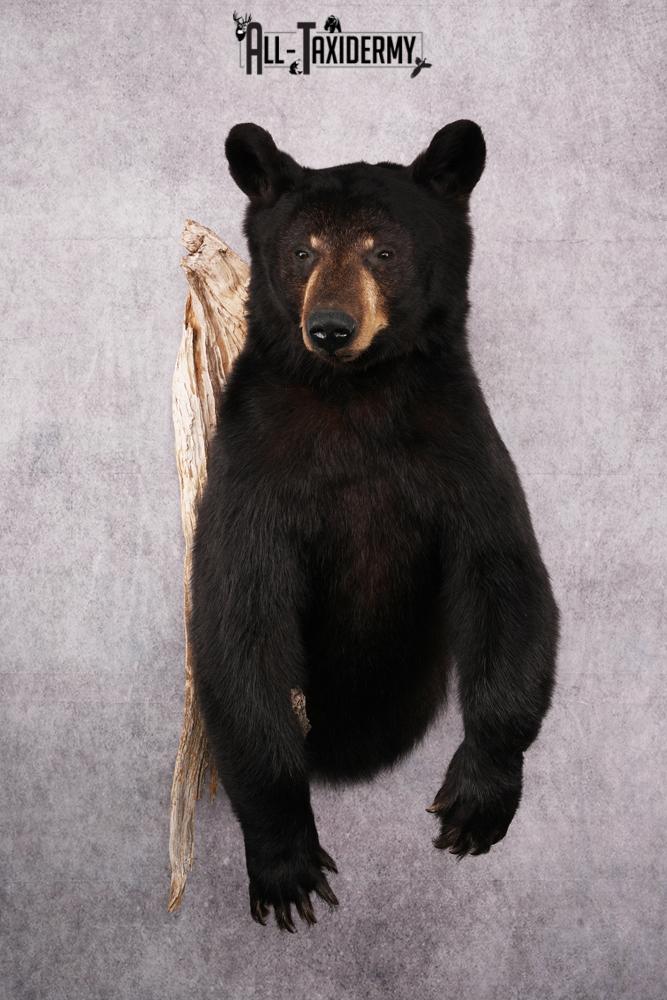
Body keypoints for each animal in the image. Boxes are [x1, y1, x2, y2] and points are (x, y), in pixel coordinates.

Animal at [189, 120, 560, 932]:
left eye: (382, 251)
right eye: (302, 250)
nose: (330, 327)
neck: (352, 399)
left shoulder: (460, 451)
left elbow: (507, 580)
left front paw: (478, 799)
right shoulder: (252, 464)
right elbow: (237, 618)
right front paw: (285, 860)